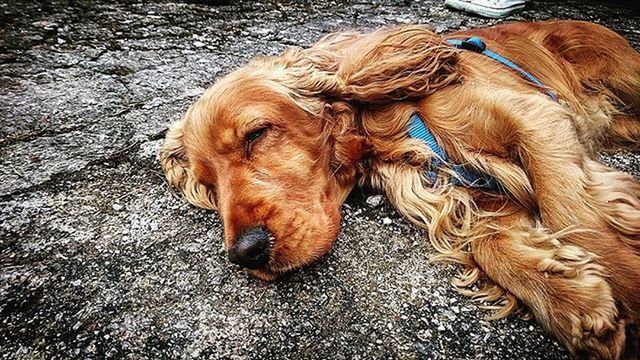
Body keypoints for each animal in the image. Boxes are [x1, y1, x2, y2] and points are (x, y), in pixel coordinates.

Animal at [161, 21, 640, 358]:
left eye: (256, 134)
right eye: (209, 183)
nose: (246, 253)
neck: (387, 129)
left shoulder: (537, 118)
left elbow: (573, 215)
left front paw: (626, 286)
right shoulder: (468, 188)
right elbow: (491, 242)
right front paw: (573, 298)